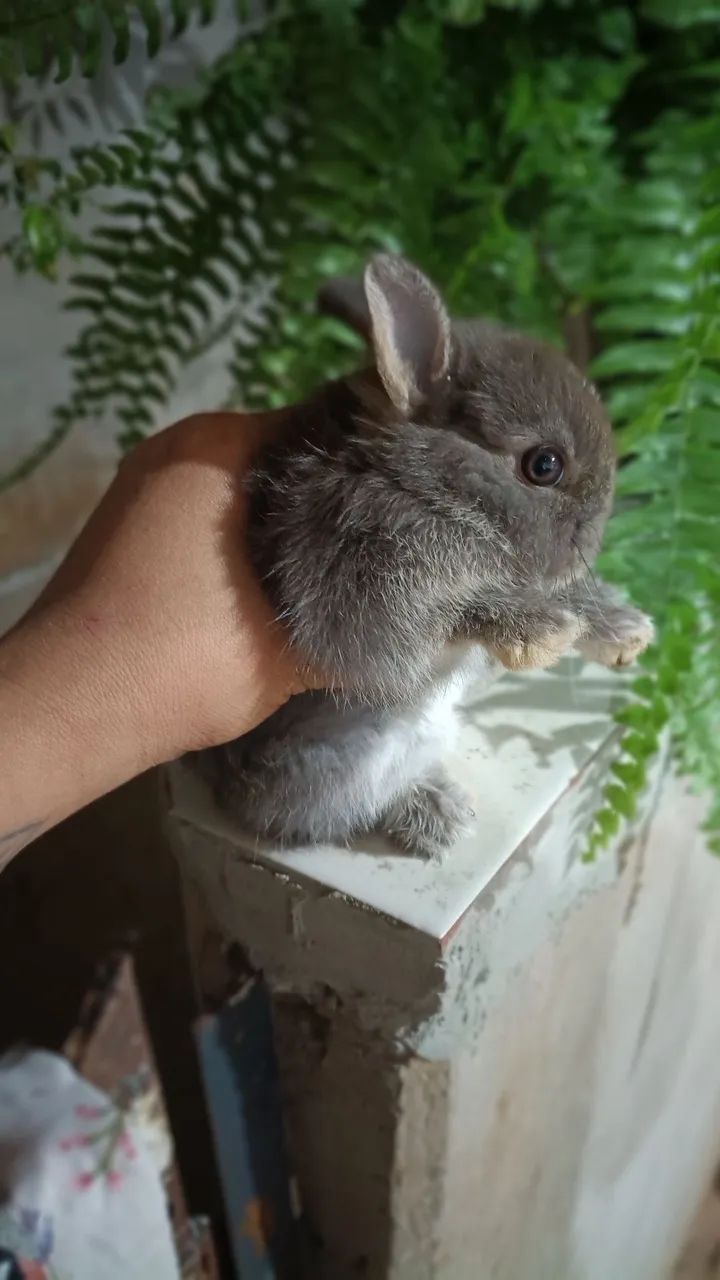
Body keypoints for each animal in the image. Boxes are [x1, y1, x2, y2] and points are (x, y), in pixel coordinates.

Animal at [192, 253, 654, 858]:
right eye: (545, 465)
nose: (597, 531)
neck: (430, 485)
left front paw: (625, 631)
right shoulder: (351, 572)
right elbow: (451, 611)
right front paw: (543, 633)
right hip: (347, 759)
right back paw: (439, 814)